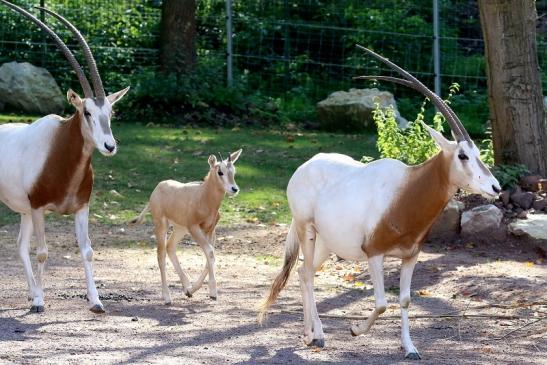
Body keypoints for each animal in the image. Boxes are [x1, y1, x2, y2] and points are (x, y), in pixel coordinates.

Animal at [132, 149, 243, 302]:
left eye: (233, 171)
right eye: (220, 172)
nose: (234, 189)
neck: (204, 196)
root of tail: (157, 189)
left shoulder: (210, 229)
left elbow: (210, 254)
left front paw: (194, 290)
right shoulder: (194, 227)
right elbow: (210, 252)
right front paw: (211, 292)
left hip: (180, 228)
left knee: (170, 247)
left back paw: (186, 287)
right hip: (161, 225)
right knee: (161, 254)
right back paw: (167, 297)